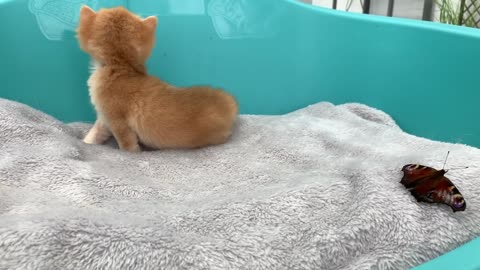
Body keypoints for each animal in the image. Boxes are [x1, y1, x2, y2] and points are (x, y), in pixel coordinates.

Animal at [76, 5, 238, 152]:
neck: (121, 67)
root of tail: (229, 104)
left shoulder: (116, 121)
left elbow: (127, 145)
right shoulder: (104, 119)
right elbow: (95, 133)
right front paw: (86, 141)